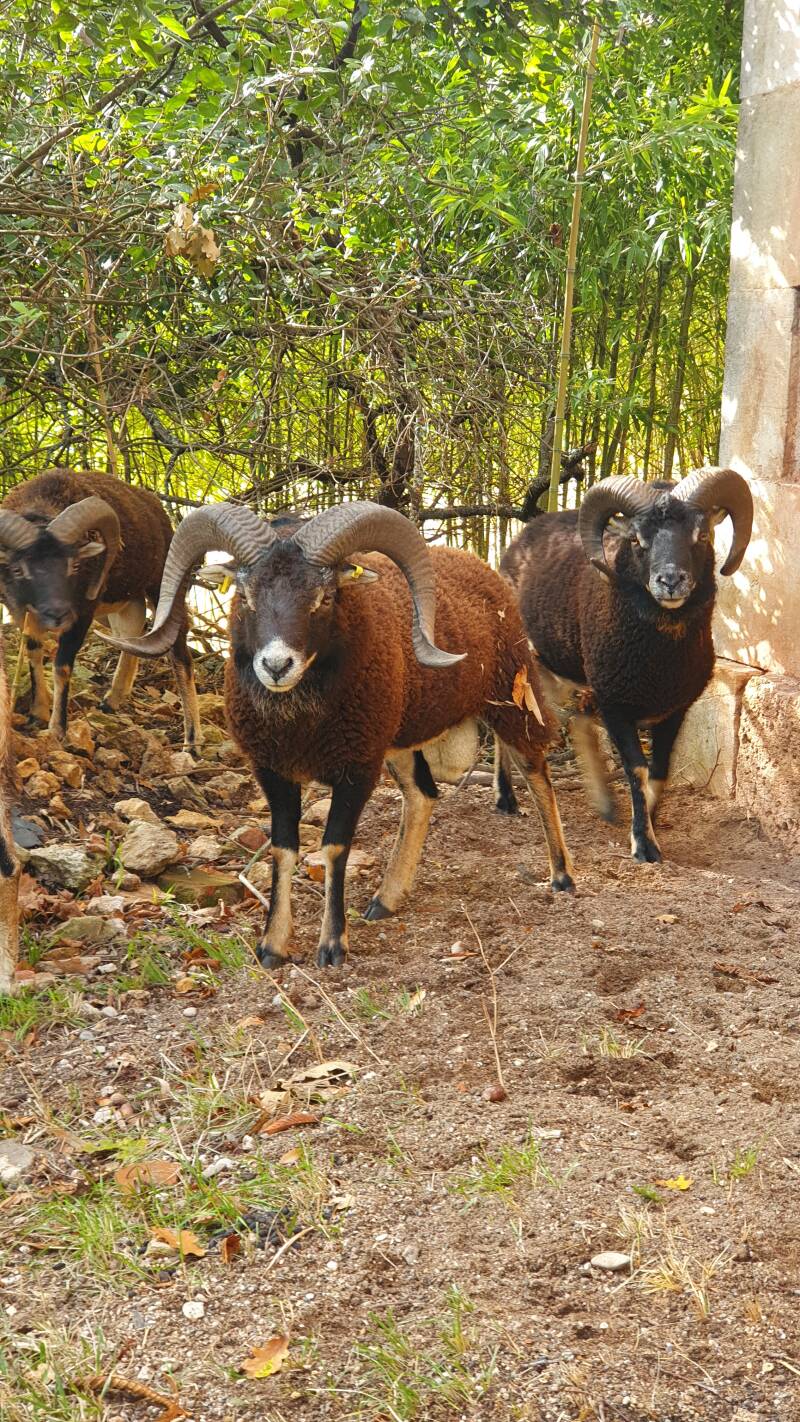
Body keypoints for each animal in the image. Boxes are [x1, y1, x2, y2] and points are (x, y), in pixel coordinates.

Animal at [0, 469, 200, 749]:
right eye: (18, 569)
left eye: (74, 565)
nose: (58, 614)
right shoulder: (22, 613)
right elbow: (33, 653)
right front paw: (37, 714)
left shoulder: (82, 614)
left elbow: (61, 666)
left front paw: (56, 730)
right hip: (128, 603)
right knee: (132, 636)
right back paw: (112, 701)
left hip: (162, 591)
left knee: (180, 656)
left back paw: (192, 742)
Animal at [104, 499, 575, 969]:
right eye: (245, 595)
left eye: (325, 597)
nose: (276, 665)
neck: (299, 723)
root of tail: (483, 569)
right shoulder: (274, 771)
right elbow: (284, 848)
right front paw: (272, 946)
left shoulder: (357, 769)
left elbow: (334, 848)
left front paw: (332, 946)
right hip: (397, 740)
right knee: (423, 797)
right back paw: (385, 900)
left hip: (513, 699)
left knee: (538, 775)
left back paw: (562, 876)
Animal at [497, 468, 753, 863]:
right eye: (636, 539)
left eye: (703, 535)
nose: (670, 581)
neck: (660, 662)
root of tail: (524, 535)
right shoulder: (616, 705)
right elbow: (636, 769)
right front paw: (644, 844)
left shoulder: (676, 707)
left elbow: (659, 770)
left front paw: (649, 819)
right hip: (527, 657)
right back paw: (506, 799)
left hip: (575, 668)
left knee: (580, 719)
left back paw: (605, 804)